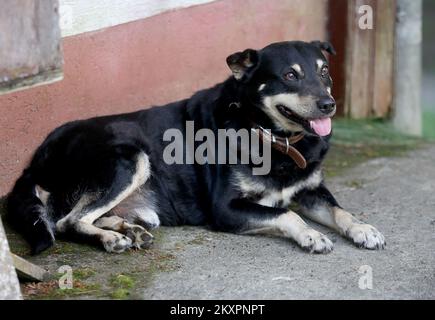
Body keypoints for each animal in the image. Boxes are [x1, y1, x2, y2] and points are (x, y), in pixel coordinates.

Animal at [8, 40, 386, 255]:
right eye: (290, 76)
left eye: (324, 72)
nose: (329, 104)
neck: (270, 136)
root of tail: (34, 160)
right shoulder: (226, 208)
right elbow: (287, 214)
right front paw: (311, 235)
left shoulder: (310, 190)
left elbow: (340, 211)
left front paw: (363, 229)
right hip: (128, 157)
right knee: (68, 221)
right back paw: (111, 240)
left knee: (92, 215)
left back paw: (130, 230)